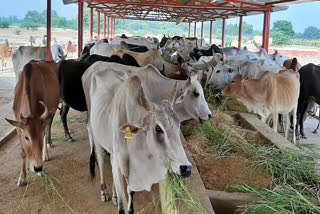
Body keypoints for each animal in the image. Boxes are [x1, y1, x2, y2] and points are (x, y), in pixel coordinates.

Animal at [83, 67, 192, 213]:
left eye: (178, 124)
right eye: (158, 128)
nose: (186, 168)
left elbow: (131, 193)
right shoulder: (120, 164)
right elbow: (122, 206)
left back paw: (114, 195)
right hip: (96, 136)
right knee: (100, 161)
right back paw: (104, 191)